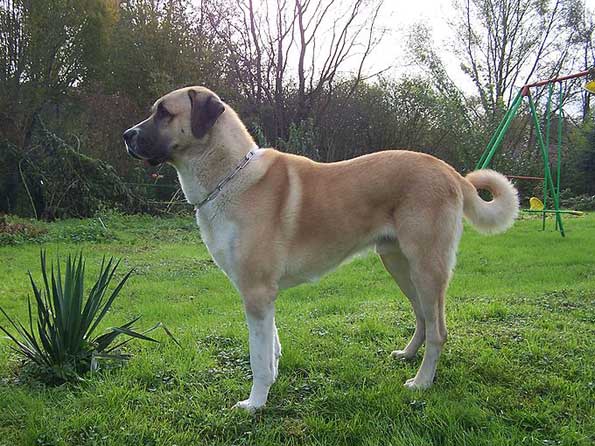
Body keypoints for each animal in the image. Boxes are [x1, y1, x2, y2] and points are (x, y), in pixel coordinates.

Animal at [123, 86, 520, 412]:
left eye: (164, 112)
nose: (126, 136)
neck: (230, 177)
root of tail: (450, 171)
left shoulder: (256, 293)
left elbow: (257, 357)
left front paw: (254, 403)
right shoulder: (264, 297)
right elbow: (271, 347)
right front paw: (271, 382)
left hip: (427, 268)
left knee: (438, 330)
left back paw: (421, 382)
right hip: (399, 265)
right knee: (422, 318)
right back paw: (407, 355)